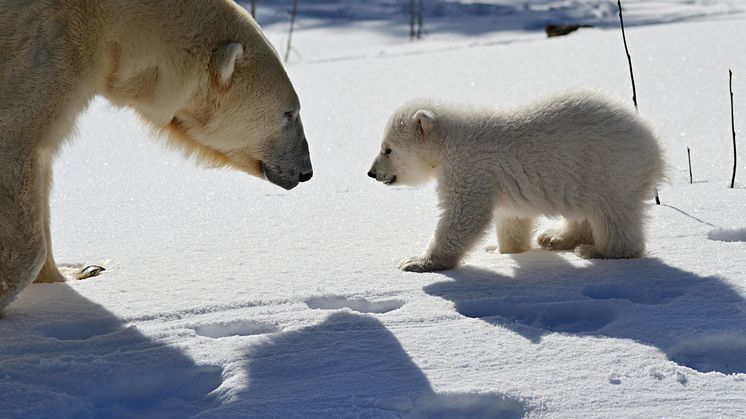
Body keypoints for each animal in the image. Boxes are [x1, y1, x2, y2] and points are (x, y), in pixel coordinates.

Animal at [0, 0, 310, 314]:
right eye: (289, 113)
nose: (305, 171)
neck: (116, 21)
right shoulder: (44, 40)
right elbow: (16, 139)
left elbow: (41, 161)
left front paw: (79, 272)